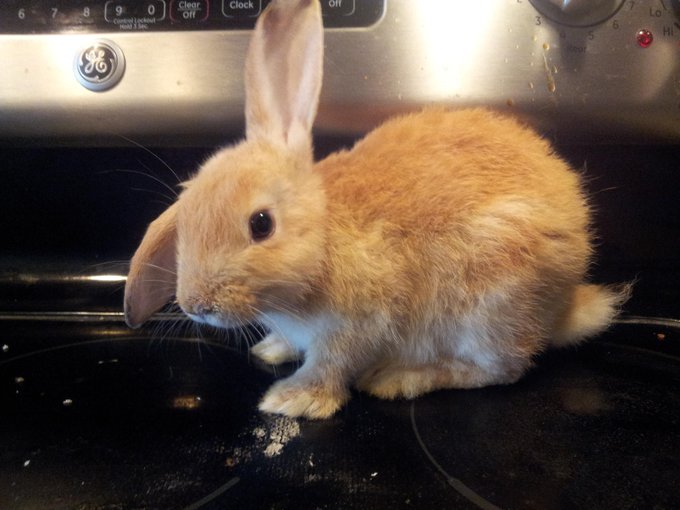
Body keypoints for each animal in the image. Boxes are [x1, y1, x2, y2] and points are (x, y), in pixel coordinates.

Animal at [124, 0, 630, 419]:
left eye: (261, 224)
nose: (196, 306)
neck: (324, 241)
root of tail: (564, 307)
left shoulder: (358, 325)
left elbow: (331, 365)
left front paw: (293, 399)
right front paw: (271, 350)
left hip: (486, 308)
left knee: (502, 369)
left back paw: (399, 377)